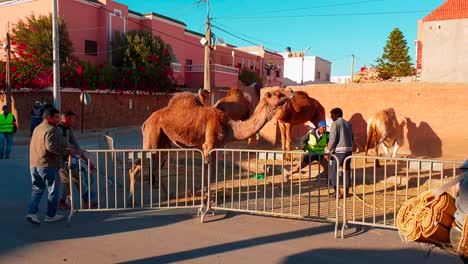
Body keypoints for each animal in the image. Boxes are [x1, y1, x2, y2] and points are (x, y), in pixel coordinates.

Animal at [129, 89, 292, 202]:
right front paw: (205, 196)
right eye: (278, 94)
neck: (230, 127)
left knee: (156, 166)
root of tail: (146, 122)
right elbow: (208, 170)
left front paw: (206, 193)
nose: (291, 92)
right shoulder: (208, 145)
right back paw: (132, 200)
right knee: (136, 166)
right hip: (152, 137)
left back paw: (169, 196)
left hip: (164, 142)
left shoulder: (215, 146)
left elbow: (212, 172)